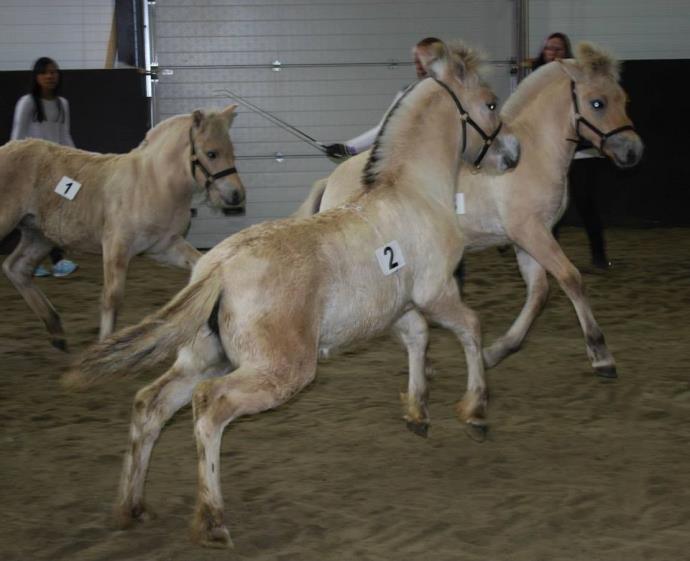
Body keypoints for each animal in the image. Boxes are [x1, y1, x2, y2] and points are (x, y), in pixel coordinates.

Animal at [0, 105, 243, 348]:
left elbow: (203, 265)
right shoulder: (116, 245)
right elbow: (112, 298)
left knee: (16, 268)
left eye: (232, 152)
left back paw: (56, 331)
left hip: (39, 235)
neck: (153, 182)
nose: (237, 195)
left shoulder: (163, 246)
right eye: (211, 153)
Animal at [66, 42, 516, 548]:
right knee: (209, 408)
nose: (511, 155)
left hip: (205, 358)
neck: (413, 193)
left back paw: (131, 507)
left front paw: (418, 412)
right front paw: (475, 413)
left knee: (150, 404)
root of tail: (218, 267)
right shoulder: (437, 291)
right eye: (491, 103)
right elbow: (472, 328)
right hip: (278, 371)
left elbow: (419, 339)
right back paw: (212, 521)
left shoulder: (397, 307)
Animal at [294, 40, 640, 376]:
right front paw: (601, 355)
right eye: (597, 103)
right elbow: (571, 279)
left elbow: (539, 292)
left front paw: (497, 351)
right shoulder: (531, 232)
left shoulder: (527, 238)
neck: (535, 154)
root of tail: (332, 177)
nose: (633, 151)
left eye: (623, 99)